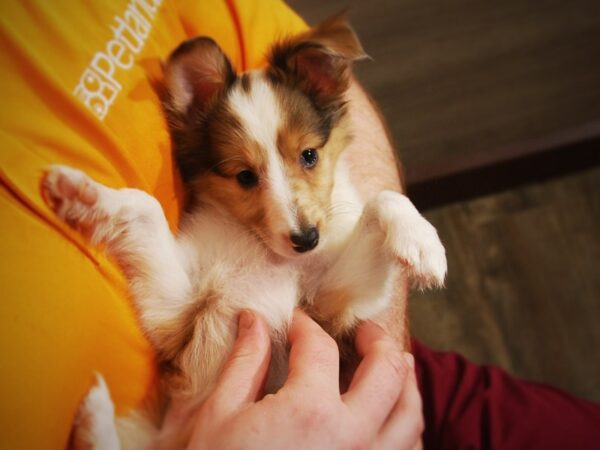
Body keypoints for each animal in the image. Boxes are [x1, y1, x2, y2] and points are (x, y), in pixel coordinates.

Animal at [42, 15, 446, 448]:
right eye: (245, 176)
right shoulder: (177, 314)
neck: (260, 250)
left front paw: (423, 245)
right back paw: (95, 413)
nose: (307, 240)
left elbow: (382, 201)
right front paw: (78, 190)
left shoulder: (332, 305)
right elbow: (144, 207)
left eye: (309, 155)